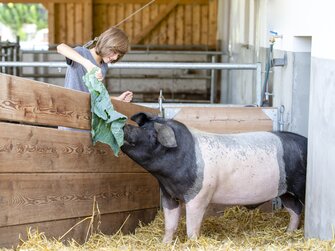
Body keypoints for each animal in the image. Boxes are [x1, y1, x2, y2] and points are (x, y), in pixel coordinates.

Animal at [122, 113, 308, 242]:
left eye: (153, 134)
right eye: (142, 126)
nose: (125, 126)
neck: (166, 178)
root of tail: (307, 142)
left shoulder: (199, 196)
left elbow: (191, 229)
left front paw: (192, 242)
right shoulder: (169, 195)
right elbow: (170, 225)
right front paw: (164, 244)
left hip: (300, 187)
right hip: (285, 191)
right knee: (295, 209)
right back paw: (288, 232)